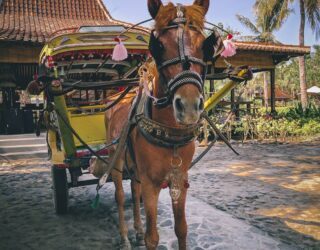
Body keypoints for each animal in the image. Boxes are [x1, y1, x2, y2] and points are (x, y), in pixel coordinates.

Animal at [104, 0, 222, 249]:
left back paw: (137, 230)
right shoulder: (151, 183)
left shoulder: (181, 178)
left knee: (133, 188)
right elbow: (153, 237)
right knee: (120, 195)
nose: (188, 106)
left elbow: (182, 229)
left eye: (204, 45)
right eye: (158, 46)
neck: (170, 133)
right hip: (115, 159)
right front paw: (145, 235)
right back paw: (125, 236)